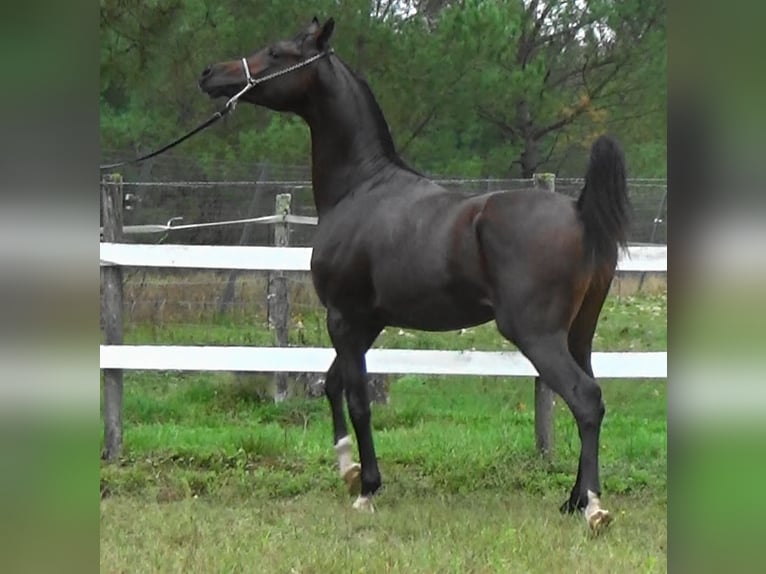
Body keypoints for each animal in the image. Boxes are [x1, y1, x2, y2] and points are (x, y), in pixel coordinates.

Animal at [198, 16, 632, 532]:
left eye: (278, 52)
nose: (211, 75)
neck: (361, 188)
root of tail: (580, 212)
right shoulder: (368, 321)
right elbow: (332, 383)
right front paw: (346, 468)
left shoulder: (343, 316)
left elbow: (358, 398)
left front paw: (367, 488)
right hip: (578, 334)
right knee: (592, 400)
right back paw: (574, 500)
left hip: (537, 335)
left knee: (584, 397)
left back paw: (594, 508)